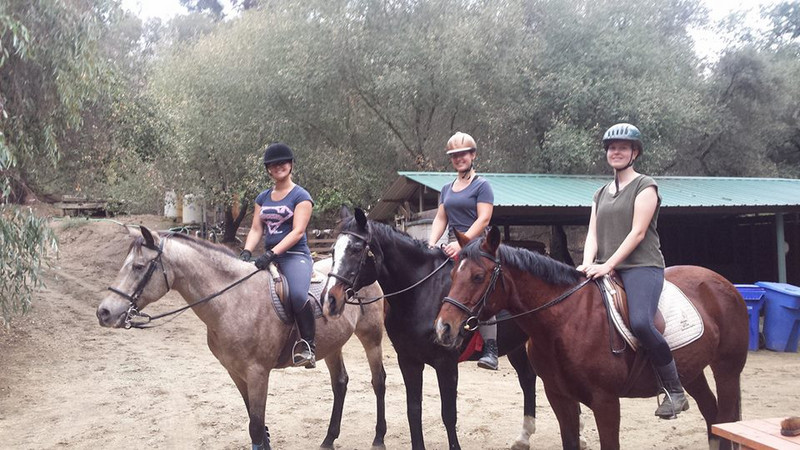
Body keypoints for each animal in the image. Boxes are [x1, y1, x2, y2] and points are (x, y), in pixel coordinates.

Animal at [95, 229, 390, 450]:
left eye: (138, 266)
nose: (104, 312)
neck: (233, 300)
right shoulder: (235, 372)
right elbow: (255, 423)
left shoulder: (258, 372)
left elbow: (256, 425)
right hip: (332, 346)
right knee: (340, 384)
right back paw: (328, 439)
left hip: (372, 337)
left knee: (378, 381)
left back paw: (378, 438)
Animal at [322, 208, 548, 450]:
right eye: (333, 250)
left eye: (356, 249)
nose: (330, 299)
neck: (421, 292)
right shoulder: (408, 360)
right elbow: (413, 411)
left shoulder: (445, 363)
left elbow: (448, 414)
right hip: (516, 346)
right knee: (527, 378)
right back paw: (524, 437)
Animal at [434, 229, 748, 450]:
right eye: (453, 274)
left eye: (478, 276)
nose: (443, 328)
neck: (565, 321)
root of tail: (723, 283)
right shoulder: (559, 396)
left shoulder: (606, 401)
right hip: (691, 372)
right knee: (712, 415)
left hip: (728, 370)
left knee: (726, 419)